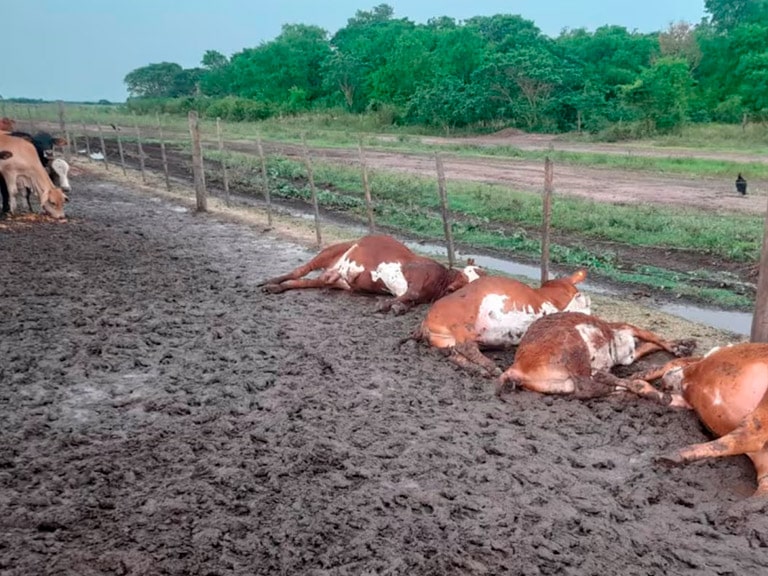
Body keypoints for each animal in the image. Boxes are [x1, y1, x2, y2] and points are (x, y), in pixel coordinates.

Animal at [260, 235, 486, 316]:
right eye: (464, 281)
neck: (440, 281)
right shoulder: (415, 274)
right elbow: (411, 294)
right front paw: (385, 304)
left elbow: (409, 300)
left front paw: (397, 306)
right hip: (329, 252)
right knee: (300, 270)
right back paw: (270, 281)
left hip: (335, 281)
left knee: (302, 281)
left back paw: (277, 287)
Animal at [408, 272, 588, 378]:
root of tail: (424, 321)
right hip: (461, 323)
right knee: (466, 346)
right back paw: (492, 368)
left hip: (447, 342)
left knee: (457, 354)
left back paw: (481, 370)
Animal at [496, 310, 700, 400]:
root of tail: (516, 367)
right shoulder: (623, 327)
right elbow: (652, 336)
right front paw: (681, 346)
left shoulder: (628, 354)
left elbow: (648, 345)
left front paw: (683, 345)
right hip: (574, 345)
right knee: (588, 387)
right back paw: (652, 392)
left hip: (562, 385)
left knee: (590, 389)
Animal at [628, 342, 768, 500]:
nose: (665, 383)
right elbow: (675, 366)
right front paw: (635, 377)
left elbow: (677, 362)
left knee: (752, 433)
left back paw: (667, 456)